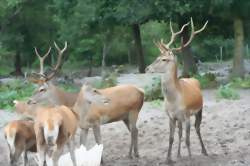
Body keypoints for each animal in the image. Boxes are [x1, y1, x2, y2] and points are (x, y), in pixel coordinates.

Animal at [146, 17, 208, 162]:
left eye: (164, 59)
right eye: (156, 57)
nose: (147, 68)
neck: (174, 100)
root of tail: (193, 79)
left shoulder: (186, 115)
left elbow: (188, 139)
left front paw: (190, 158)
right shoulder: (171, 116)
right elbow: (171, 138)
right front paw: (168, 158)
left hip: (199, 110)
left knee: (197, 128)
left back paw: (204, 151)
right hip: (180, 119)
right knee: (180, 133)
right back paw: (179, 154)